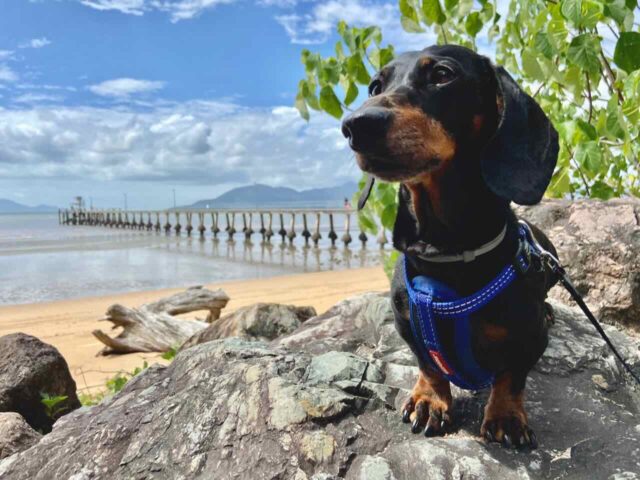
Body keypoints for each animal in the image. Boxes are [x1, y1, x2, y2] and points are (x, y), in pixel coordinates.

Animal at [342, 45, 556, 450]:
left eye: (443, 74)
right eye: (375, 85)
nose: (355, 125)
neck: (445, 252)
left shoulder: (531, 337)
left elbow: (512, 374)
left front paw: (505, 414)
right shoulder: (407, 322)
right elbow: (428, 364)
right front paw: (430, 400)